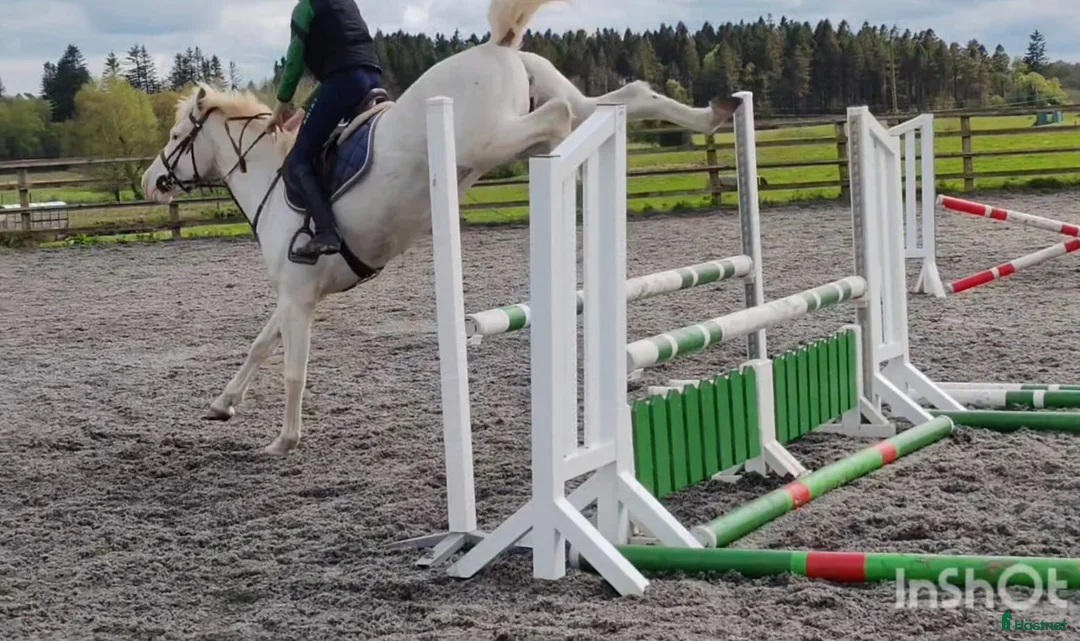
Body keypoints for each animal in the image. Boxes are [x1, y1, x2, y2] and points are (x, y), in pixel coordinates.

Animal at [141, 0, 739, 456]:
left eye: (175, 136)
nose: (152, 182)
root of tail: (499, 48)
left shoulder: (299, 295)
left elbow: (292, 368)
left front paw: (284, 441)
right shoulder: (296, 293)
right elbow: (260, 346)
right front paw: (222, 404)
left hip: (490, 136)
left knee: (559, 120)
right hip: (556, 94)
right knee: (625, 98)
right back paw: (715, 113)